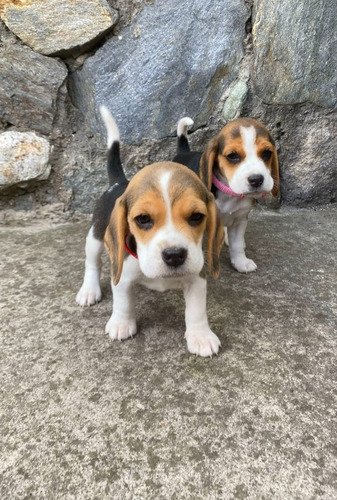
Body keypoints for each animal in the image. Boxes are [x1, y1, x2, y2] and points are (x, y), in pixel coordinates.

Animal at [76, 106, 223, 356]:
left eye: (197, 216)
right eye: (143, 219)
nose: (174, 255)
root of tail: (119, 183)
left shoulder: (197, 277)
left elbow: (196, 310)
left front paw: (201, 336)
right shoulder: (123, 274)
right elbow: (123, 301)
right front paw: (121, 324)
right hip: (94, 237)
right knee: (92, 263)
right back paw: (89, 290)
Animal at [173, 116, 278, 274]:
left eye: (267, 153)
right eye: (233, 156)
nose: (256, 180)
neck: (229, 192)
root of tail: (183, 153)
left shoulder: (240, 219)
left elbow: (237, 244)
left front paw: (240, 262)